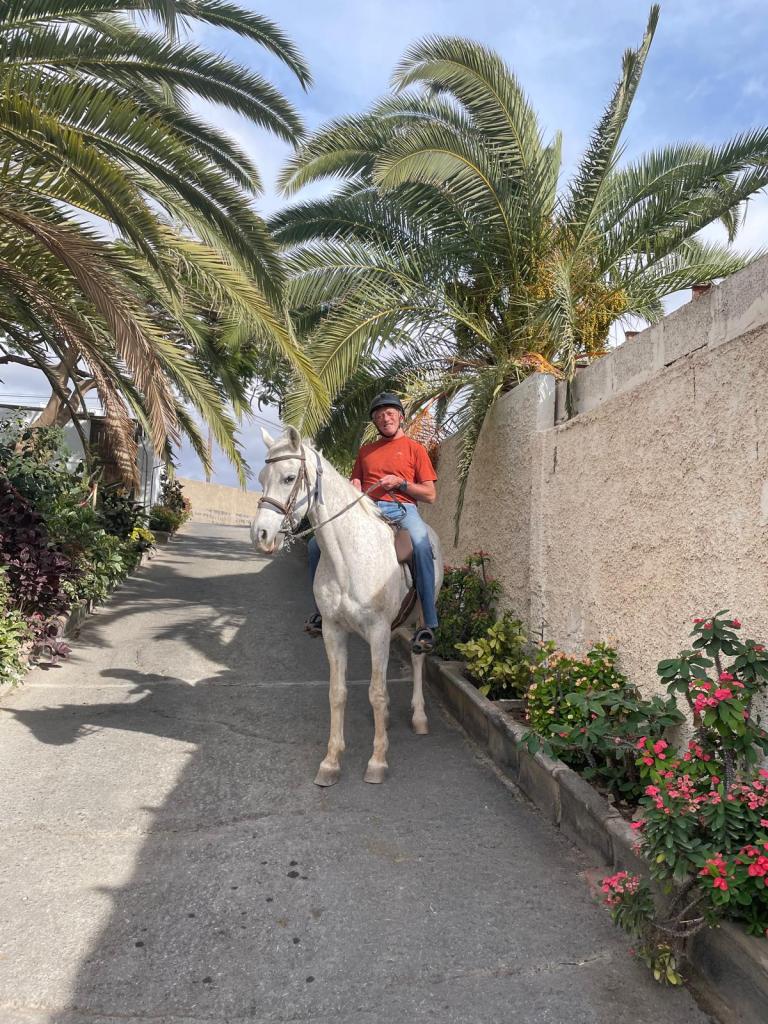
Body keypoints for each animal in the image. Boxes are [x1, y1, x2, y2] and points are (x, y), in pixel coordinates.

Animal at [250, 426, 443, 786]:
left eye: (289, 477)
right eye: (260, 478)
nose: (261, 535)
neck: (348, 557)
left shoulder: (378, 630)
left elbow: (376, 691)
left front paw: (378, 761)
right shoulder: (334, 630)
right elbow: (338, 693)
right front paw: (331, 761)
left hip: (422, 616)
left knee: (417, 658)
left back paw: (419, 716)